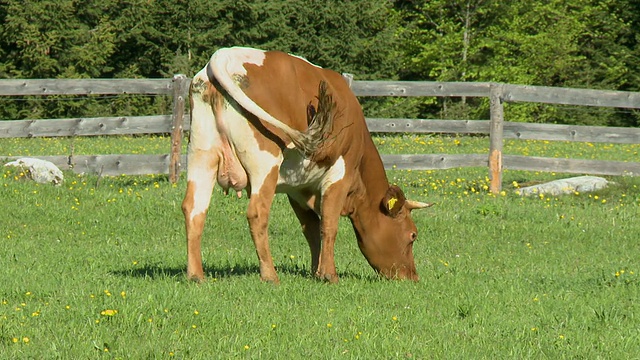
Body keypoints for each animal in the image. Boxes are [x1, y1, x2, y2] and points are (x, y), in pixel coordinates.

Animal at [181, 47, 430, 284]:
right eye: (413, 235)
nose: (413, 278)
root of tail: (224, 55)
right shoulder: (340, 175)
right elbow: (328, 225)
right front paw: (329, 275)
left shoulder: (297, 189)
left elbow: (310, 229)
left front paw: (315, 272)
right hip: (264, 163)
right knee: (257, 214)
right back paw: (270, 275)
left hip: (201, 155)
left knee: (194, 209)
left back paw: (196, 276)